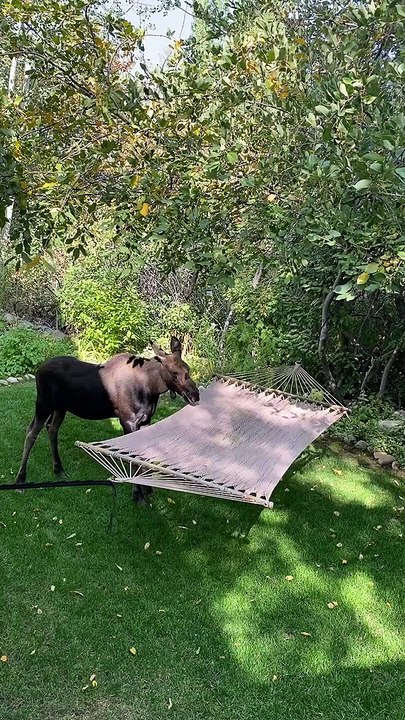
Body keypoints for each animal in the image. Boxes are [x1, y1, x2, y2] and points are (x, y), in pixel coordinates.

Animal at [15, 337, 200, 503]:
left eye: (188, 369)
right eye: (174, 373)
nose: (195, 395)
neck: (151, 389)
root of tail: (38, 370)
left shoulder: (146, 420)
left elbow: (142, 457)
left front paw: (148, 489)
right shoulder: (128, 420)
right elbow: (131, 459)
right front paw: (137, 494)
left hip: (60, 408)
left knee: (51, 429)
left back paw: (58, 468)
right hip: (43, 403)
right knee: (31, 432)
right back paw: (20, 480)